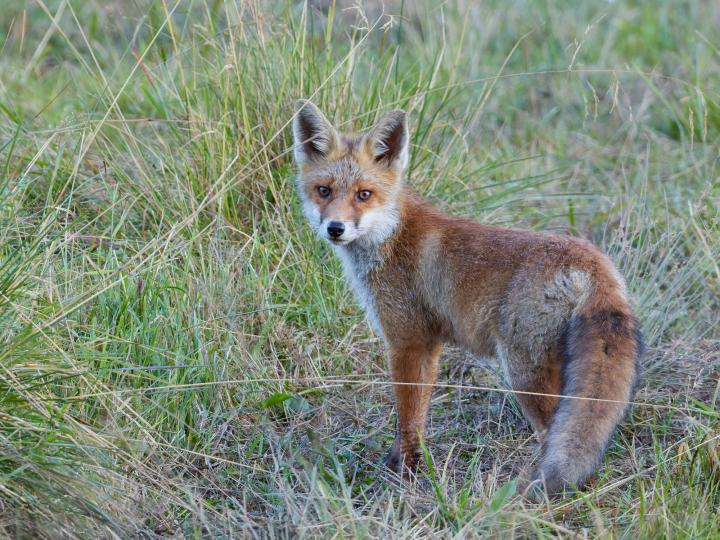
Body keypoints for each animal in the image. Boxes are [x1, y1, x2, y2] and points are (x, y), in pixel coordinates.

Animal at [292, 98, 640, 494]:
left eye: (363, 195)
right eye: (323, 191)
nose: (335, 228)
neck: (391, 236)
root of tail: (596, 263)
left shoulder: (408, 341)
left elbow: (407, 417)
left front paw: (404, 473)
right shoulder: (429, 345)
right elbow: (418, 417)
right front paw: (409, 464)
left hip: (523, 373)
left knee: (552, 434)